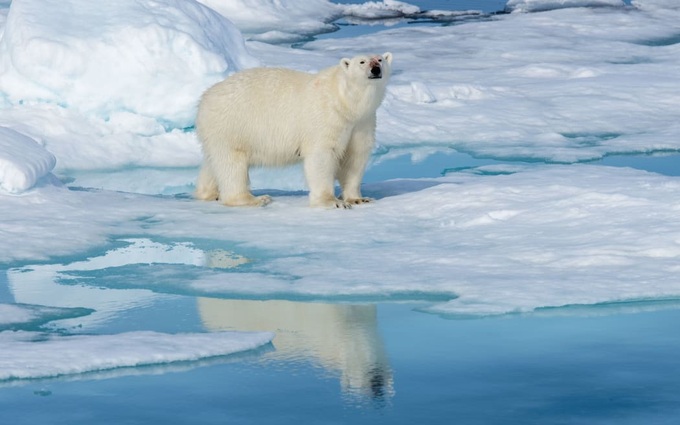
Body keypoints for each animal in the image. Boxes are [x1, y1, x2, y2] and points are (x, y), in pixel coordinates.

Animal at [194, 52, 390, 208]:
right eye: (362, 62)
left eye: (380, 59)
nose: (376, 69)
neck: (346, 102)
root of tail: (205, 98)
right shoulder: (326, 117)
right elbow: (322, 155)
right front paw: (332, 202)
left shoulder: (362, 122)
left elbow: (354, 157)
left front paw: (358, 199)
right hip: (232, 124)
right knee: (232, 163)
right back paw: (254, 199)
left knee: (214, 162)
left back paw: (209, 193)